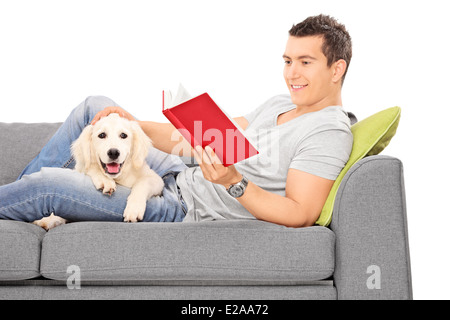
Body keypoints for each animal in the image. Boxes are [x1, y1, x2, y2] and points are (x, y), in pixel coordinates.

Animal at [33, 114, 164, 229]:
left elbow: (142, 183)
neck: (118, 177)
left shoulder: (156, 179)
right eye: (102, 135)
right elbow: (91, 167)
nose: (113, 153)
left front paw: (134, 208)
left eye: (123, 135)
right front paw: (104, 180)